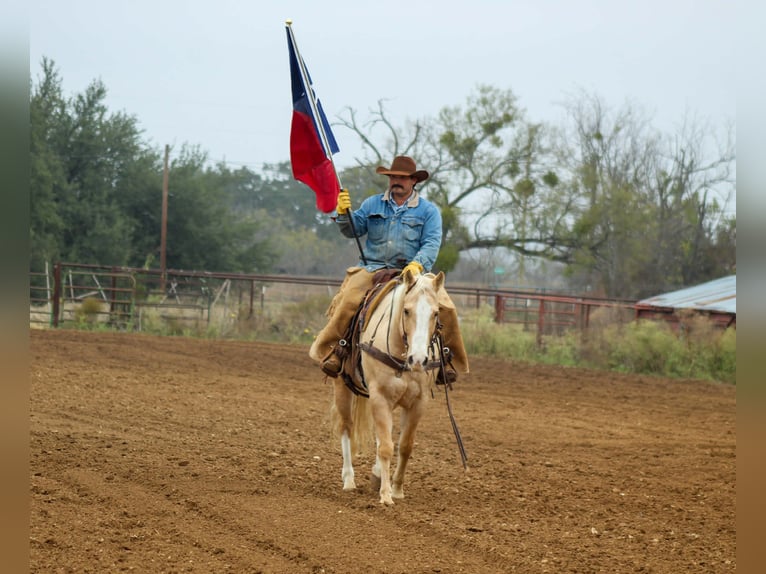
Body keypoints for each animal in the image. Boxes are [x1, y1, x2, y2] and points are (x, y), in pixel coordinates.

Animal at [330, 268, 446, 506]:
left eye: (436, 313)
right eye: (406, 311)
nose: (418, 359)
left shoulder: (418, 403)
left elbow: (405, 446)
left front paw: (397, 490)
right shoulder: (380, 397)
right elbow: (385, 447)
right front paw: (385, 495)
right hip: (342, 387)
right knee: (347, 428)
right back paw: (349, 479)